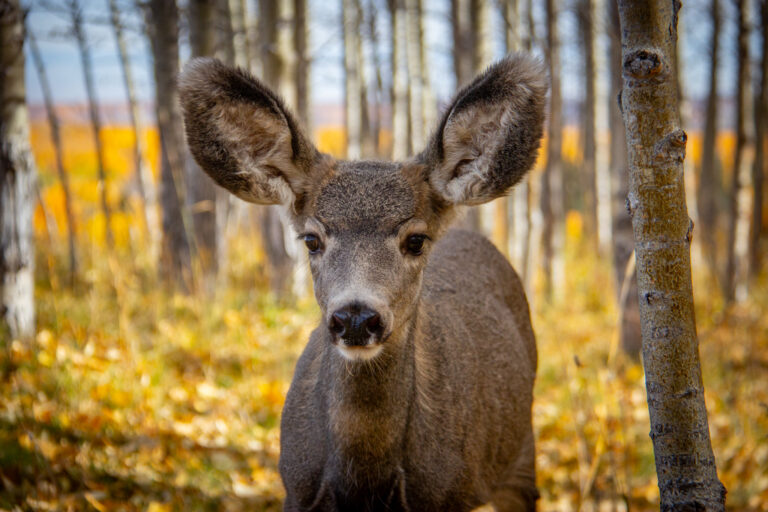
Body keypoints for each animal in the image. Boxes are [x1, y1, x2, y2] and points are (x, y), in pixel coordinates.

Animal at [179, 52, 546, 512]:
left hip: (522, 452)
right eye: (312, 239)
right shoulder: (296, 490)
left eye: (415, 240)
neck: (362, 481)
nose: (355, 317)